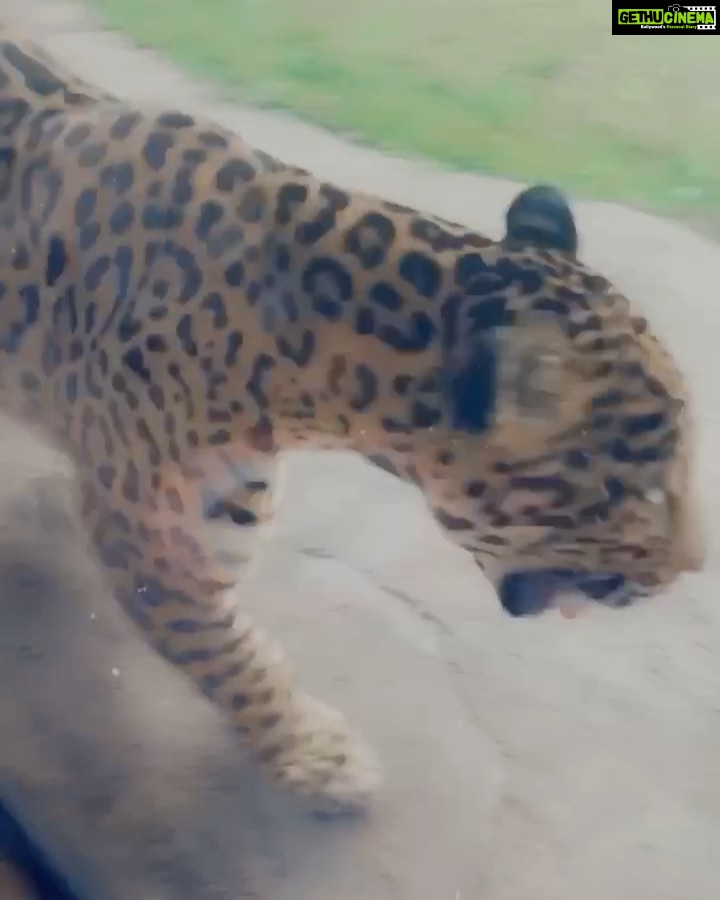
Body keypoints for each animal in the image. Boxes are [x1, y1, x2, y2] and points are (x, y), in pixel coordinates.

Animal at [0, 22, 705, 817]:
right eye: (645, 492)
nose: (696, 566)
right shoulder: (156, 538)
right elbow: (229, 655)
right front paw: (321, 757)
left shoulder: (217, 510)